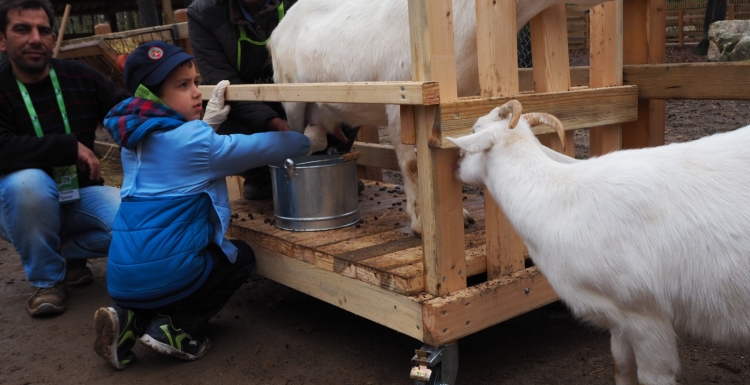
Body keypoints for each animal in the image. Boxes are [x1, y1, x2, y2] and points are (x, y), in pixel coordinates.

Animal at [268, 0, 608, 234]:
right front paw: (421, 224)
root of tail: (278, 29)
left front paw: (460, 215)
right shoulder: (401, 102)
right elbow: (412, 164)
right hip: (291, 98)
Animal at [446, 100, 750, 384]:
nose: (455, 167)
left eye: (474, 130)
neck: (558, 199)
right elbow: (620, 366)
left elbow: (652, 377)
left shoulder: (646, 316)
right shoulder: (619, 317)